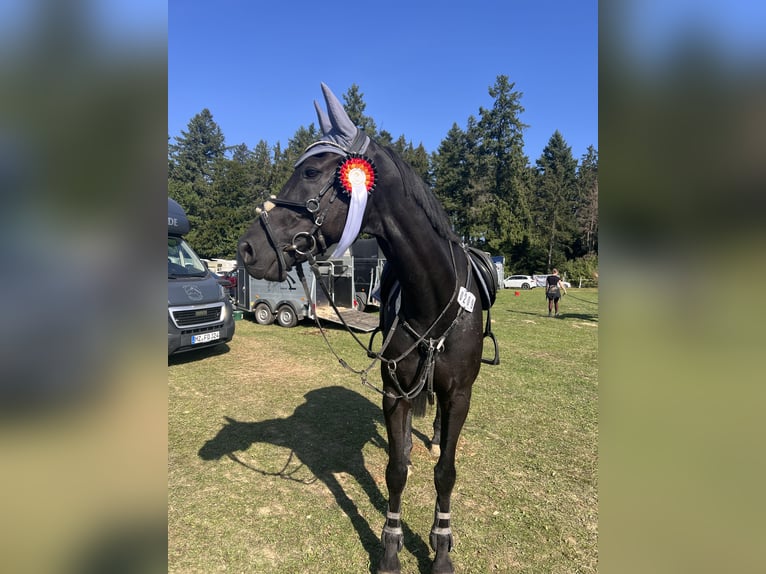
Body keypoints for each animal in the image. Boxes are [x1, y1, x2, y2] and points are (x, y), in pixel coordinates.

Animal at [238, 83, 497, 574]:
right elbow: (396, 470)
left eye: (312, 171)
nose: (247, 248)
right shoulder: (394, 393)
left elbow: (446, 472)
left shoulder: (460, 395)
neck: (433, 301)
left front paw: (441, 549)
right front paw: (391, 548)